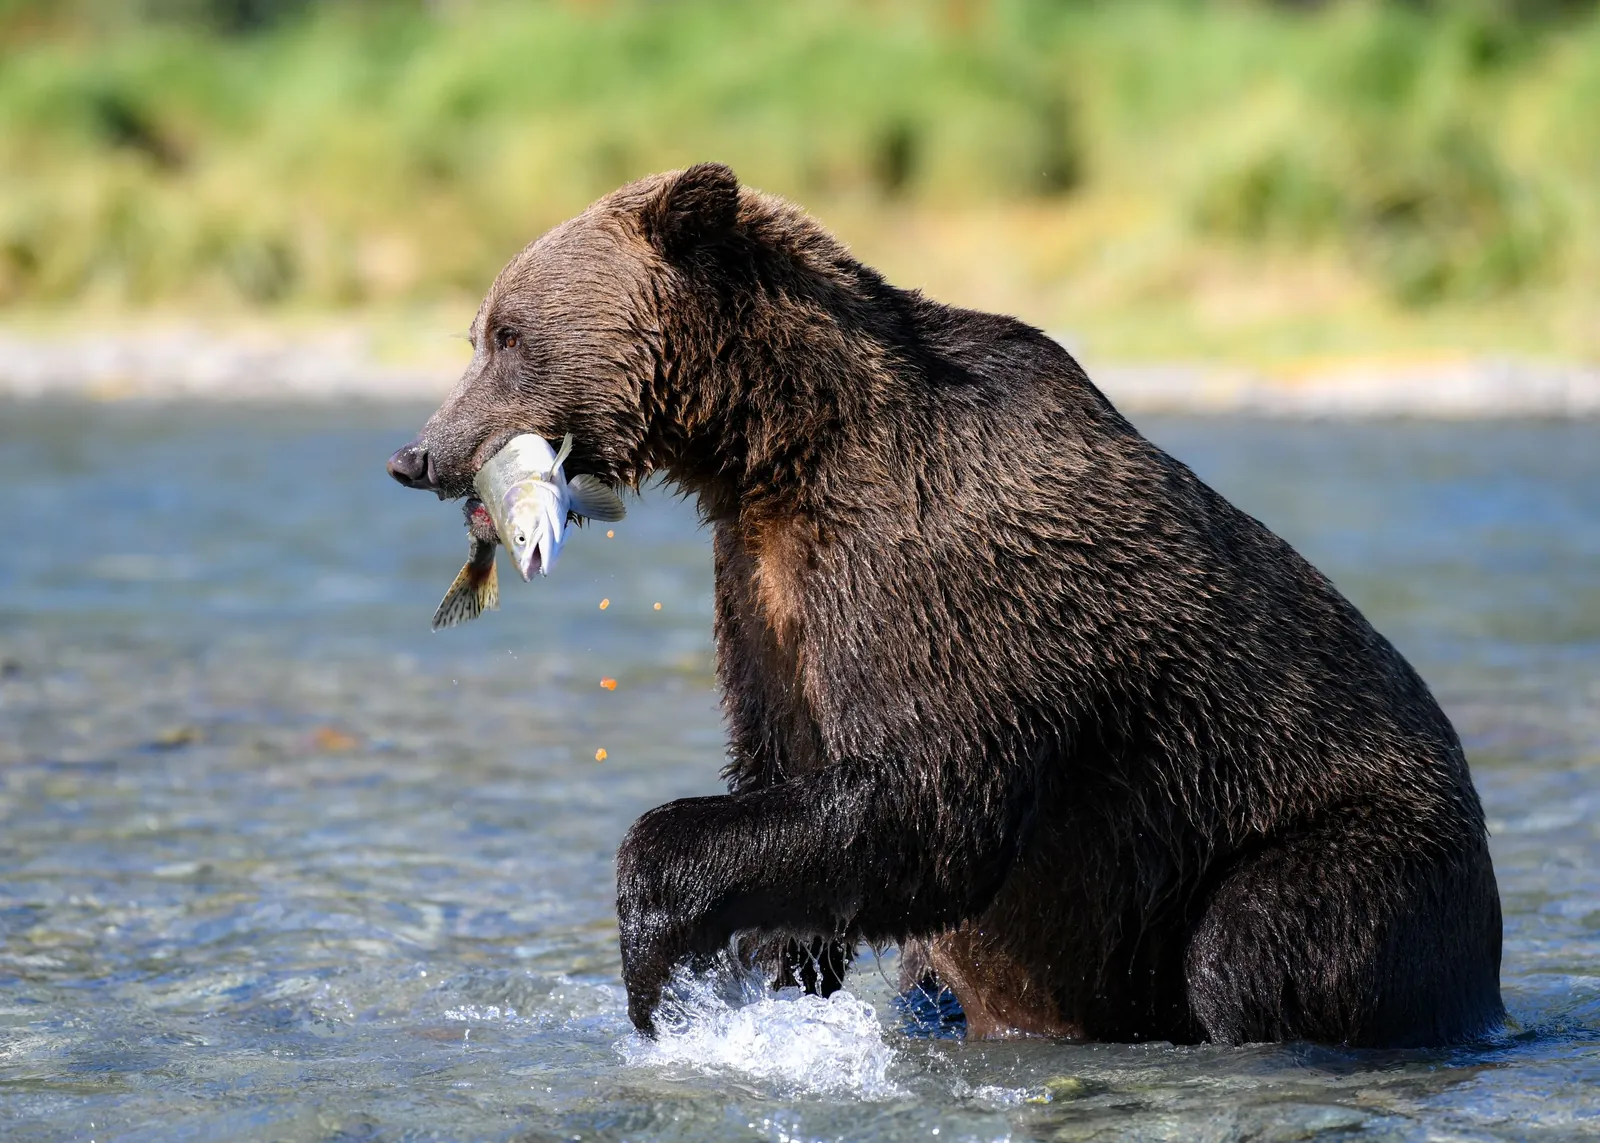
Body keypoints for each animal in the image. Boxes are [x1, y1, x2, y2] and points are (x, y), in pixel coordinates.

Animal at [387, 163, 1504, 1047]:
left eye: (508, 334)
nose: (418, 454)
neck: (782, 447)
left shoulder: (939, 567)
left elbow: (930, 801)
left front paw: (656, 948)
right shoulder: (764, 590)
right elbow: (789, 771)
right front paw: (760, 965)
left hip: (1336, 843)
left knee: (1258, 943)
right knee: (934, 975)